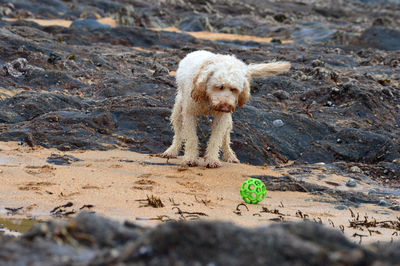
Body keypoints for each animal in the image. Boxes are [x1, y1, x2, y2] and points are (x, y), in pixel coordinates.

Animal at [160, 50, 290, 167]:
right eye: (219, 86)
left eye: (234, 89)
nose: (226, 107)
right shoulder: (189, 113)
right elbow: (191, 138)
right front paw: (190, 158)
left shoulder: (222, 118)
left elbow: (216, 139)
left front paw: (212, 159)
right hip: (178, 110)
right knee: (178, 133)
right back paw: (172, 151)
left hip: (227, 121)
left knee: (226, 139)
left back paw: (230, 156)